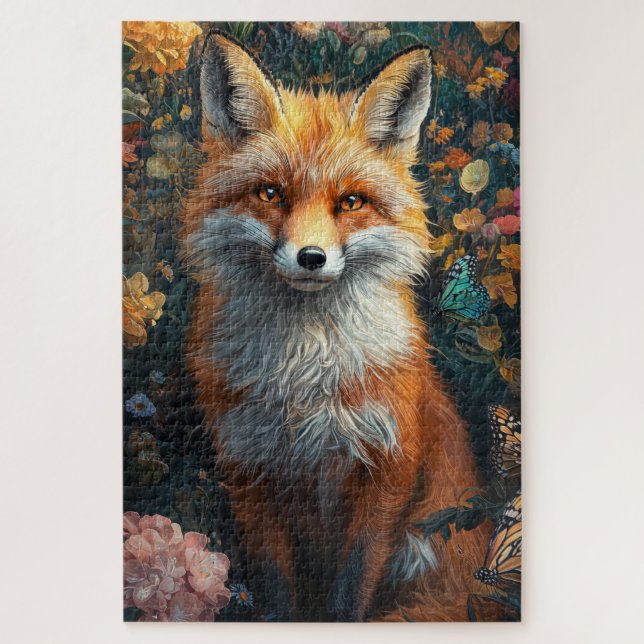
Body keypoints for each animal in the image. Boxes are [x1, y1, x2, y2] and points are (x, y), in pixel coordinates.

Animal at [180, 30, 494, 621]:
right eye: (270, 193)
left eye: (350, 202)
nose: (311, 258)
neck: (306, 372)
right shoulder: (250, 470)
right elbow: (277, 590)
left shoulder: (386, 470)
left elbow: (351, 589)